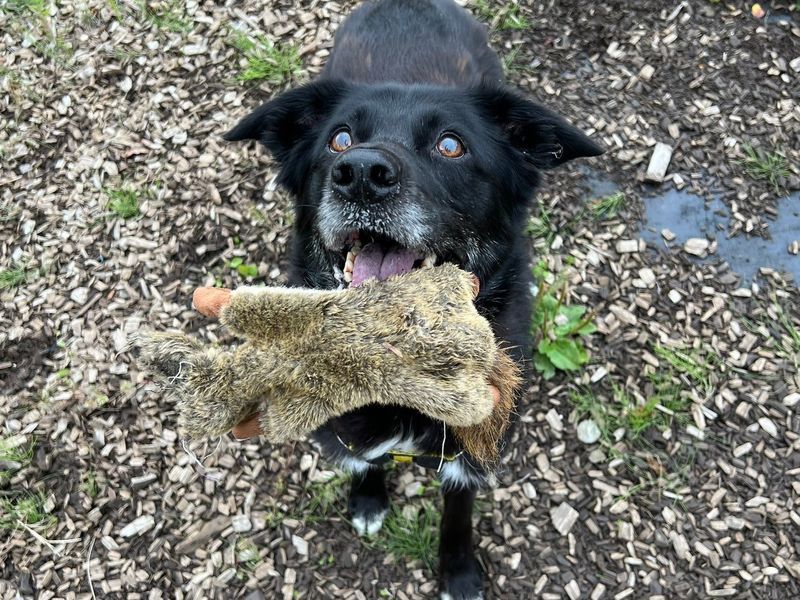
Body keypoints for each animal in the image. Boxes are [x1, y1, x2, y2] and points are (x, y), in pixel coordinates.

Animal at [225, 1, 600, 596]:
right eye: (339, 139)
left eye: (451, 144)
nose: (360, 173)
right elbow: (366, 461)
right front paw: (368, 500)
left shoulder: (473, 445)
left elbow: (458, 509)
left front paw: (459, 571)